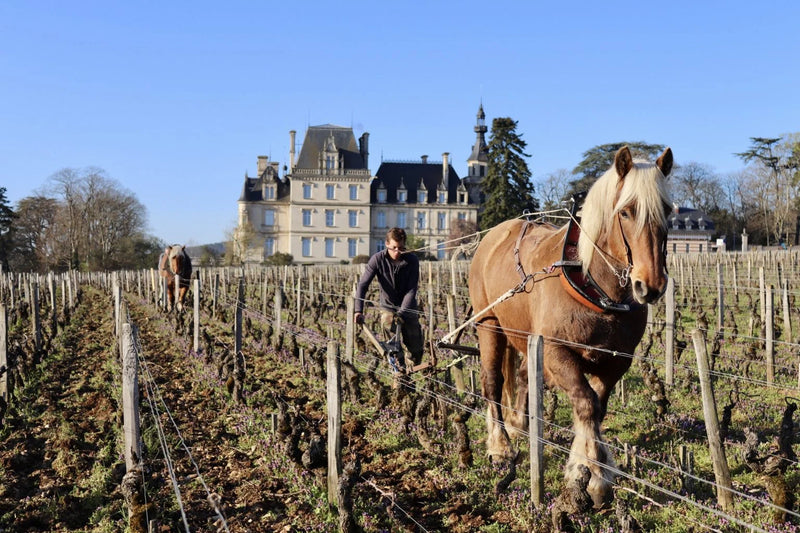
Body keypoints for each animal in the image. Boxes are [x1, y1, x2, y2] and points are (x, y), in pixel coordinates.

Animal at [468, 145, 676, 508]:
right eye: (626, 212)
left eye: (666, 210)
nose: (650, 286)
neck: (597, 288)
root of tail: (495, 234)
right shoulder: (557, 351)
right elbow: (585, 403)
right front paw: (590, 474)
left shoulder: (617, 360)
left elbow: (597, 407)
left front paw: (592, 471)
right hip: (488, 324)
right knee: (492, 383)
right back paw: (501, 446)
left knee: (522, 378)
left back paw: (519, 424)